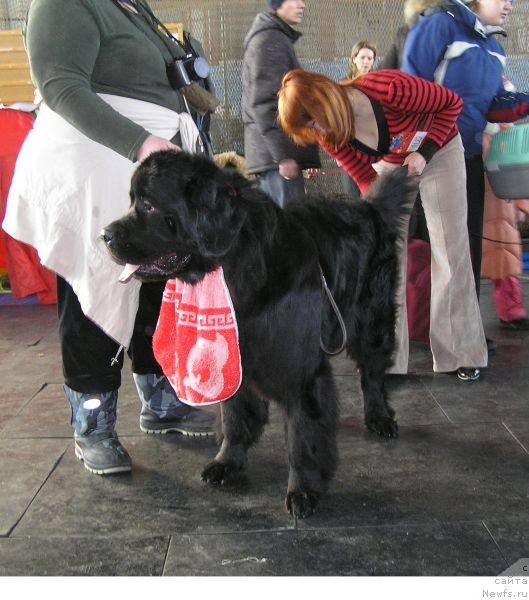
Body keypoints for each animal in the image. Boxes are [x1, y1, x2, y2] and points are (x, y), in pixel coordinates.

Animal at [103, 152, 414, 516]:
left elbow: (302, 435)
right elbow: (236, 417)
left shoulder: (300, 368)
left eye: (149, 205)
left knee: (372, 371)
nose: (104, 235)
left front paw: (303, 489)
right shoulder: (235, 358)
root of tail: (369, 208)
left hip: (371, 320)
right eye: (132, 201)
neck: (238, 264)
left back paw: (380, 417)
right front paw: (228, 462)